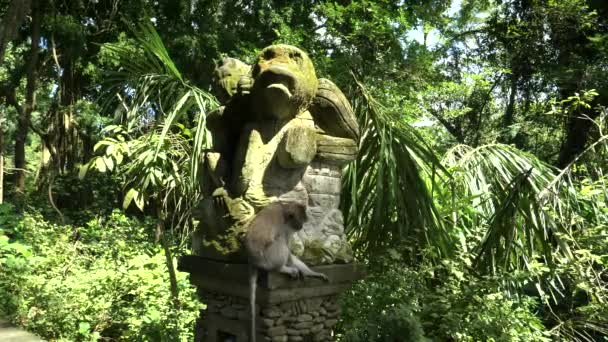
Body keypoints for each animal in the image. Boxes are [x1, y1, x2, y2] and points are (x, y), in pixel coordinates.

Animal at [245, 202, 328, 340]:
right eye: (301, 220)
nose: (301, 226)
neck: (284, 211)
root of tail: (252, 261)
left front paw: (311, 273)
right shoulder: (284, 226)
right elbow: (286, 246)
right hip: (267, 258)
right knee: (279, 241)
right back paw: (282, 268)